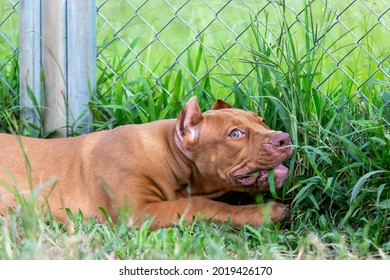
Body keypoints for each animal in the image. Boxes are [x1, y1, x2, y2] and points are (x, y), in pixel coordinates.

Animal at [0, 97, 292, 229]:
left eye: (262, 121)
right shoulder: (138, 212)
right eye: (235, 134)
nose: (284, 138)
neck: (170, 155)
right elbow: (201, 204)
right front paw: (266, 212)